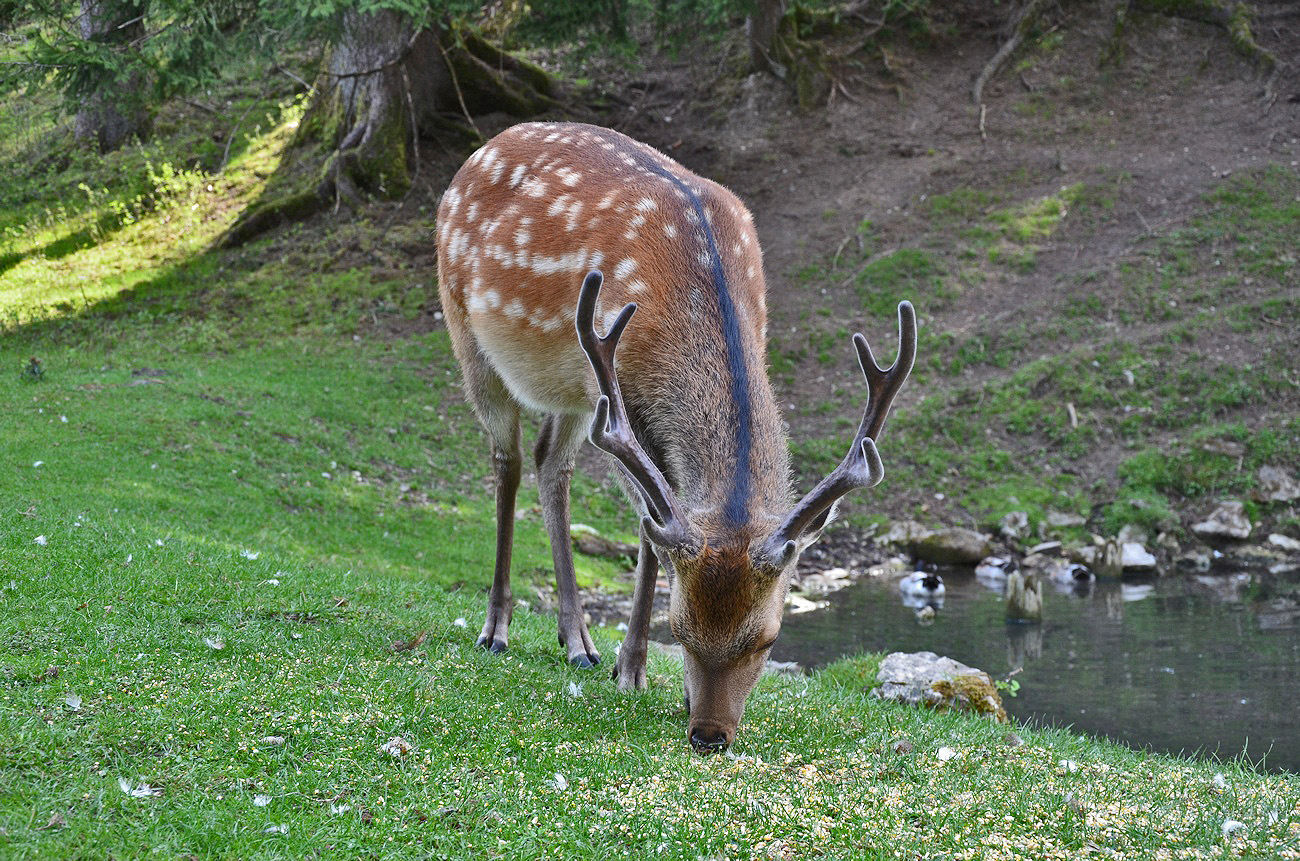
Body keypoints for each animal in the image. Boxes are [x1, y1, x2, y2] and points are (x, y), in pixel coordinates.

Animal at [436, 122, 915, 754]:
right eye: (681, 629)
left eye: (767, 638)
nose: (709, 734)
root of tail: (480, 151)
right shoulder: (621, 398)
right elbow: (650, 525)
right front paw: (633, 669)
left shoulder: (603, 398)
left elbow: (653, 528)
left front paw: (627, 665)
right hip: (469, 334)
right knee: (506, 460)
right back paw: (497, 628)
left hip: (573, 389)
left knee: (550, 463)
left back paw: (578, 641)